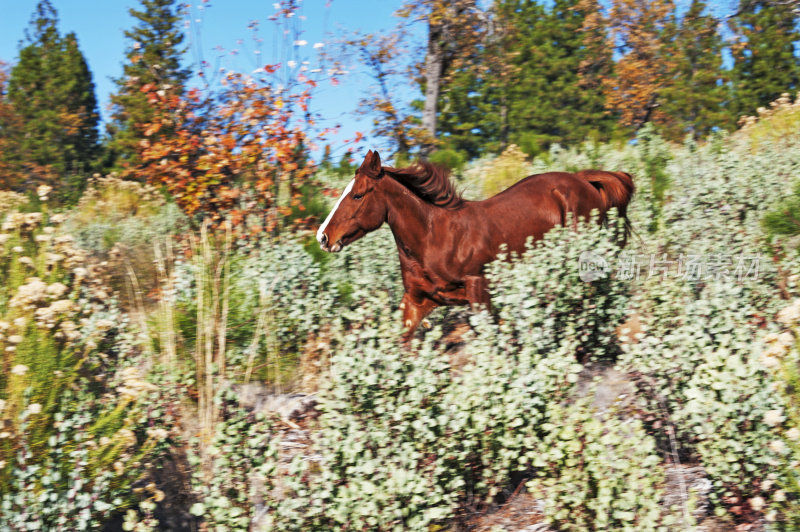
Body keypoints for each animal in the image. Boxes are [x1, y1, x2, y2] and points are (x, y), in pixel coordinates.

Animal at [316, 150, 636, 340]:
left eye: (357, 195)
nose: (323, 237)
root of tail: (583, 180)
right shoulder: (421, 299)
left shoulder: (478, 289)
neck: (433, 237)